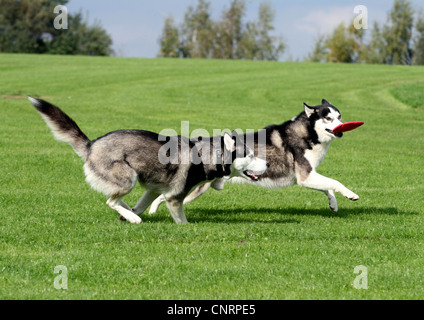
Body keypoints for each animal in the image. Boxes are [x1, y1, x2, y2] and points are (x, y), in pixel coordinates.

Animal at [29, 96, 268, 224]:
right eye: (250, 154)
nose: (267, 163)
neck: (204, 157)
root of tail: (92, 144)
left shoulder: (154, 189)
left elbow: (143, 204)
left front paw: (131, 213)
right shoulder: (174, 198)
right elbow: (182, 221)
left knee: (115, 201)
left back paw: (128, 213)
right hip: (128, 179)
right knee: (110, 201)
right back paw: (133, 218)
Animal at [151, 99, 360, 214]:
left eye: (339, 117)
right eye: (328, 118)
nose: (341, 128)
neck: (307, 134)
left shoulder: (310, 176)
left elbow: (328, 188)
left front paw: (333, 204)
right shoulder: (305, 177)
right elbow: (335, 182)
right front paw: (350, 194)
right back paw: (152, 210)